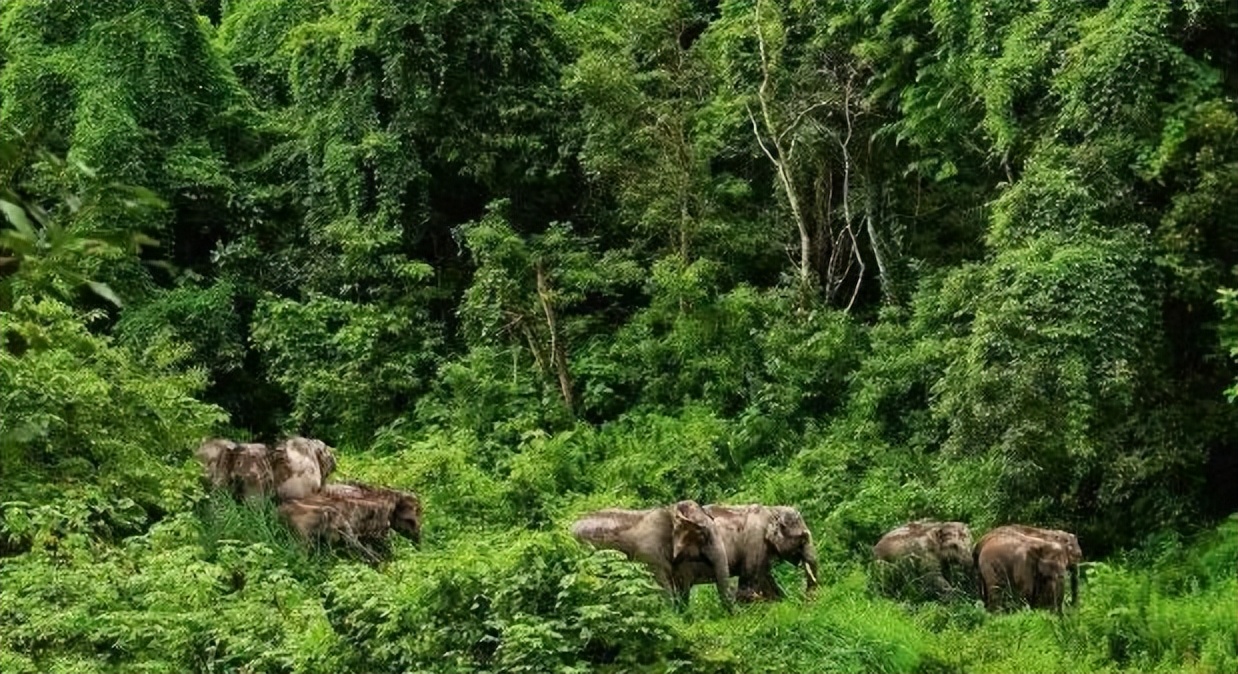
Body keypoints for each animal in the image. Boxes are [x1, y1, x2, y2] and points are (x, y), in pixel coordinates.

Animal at [673, 503, 817, 602]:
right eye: (803, 538)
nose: (807, 596)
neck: (771, 511)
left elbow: (766, 579)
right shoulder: (755, 541)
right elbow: (749, 584)